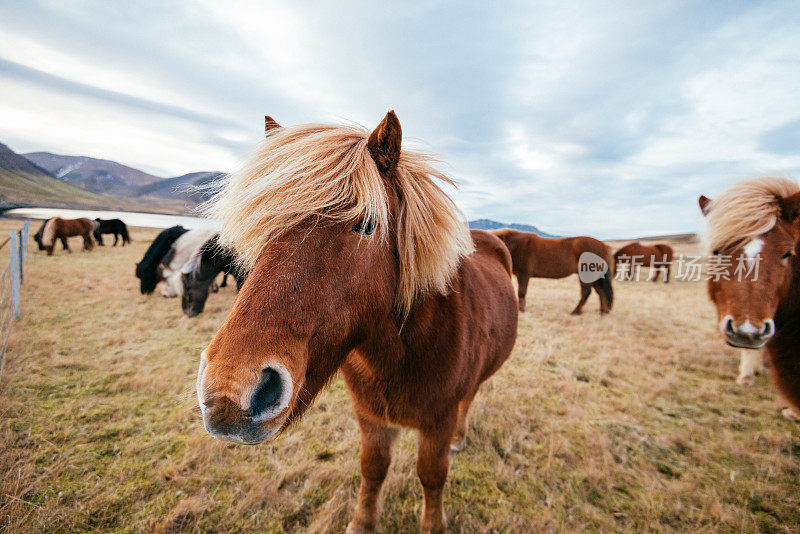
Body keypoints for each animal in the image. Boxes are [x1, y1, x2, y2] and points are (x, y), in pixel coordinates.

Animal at [195, 111, 520, 532]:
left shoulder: (438, 422)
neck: (402, 353)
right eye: (265, 228)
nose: (230, 393)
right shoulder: (370, 418)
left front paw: (433, 524)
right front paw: (363, 523)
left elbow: (432, 476)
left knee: (470, 399)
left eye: (366, 224)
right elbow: (373, 468)